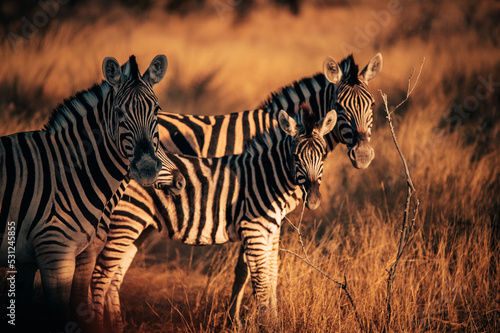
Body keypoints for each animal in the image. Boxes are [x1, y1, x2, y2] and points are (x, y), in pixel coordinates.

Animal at [0, 53, 178, 328]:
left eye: (157, 110)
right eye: (119, 113)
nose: (148, 168)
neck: (69, 173)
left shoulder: (44, 259)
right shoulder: (56, 254)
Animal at [92, 106, 338, 330]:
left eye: (323, 156)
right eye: (295, 157)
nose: (313, 200)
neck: (267, 178)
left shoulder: (272, 231)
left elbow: (272, 276)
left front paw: (274, 323)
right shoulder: (254, 229)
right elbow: (260, 281)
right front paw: (266, 326)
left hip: (139, 227)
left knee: (114, 277)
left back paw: (118, 326)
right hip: (126, 220)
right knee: (100, 275)